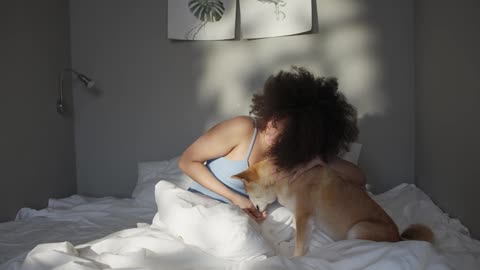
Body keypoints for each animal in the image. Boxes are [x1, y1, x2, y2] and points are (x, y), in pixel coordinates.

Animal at [232, 159, 436, 256]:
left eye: (247, 192)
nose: (253, 209)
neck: (282, 180)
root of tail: (398, 238)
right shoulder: (306, 221)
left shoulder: (303, 216)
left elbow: (299, 245)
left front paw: (295, 258)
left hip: (357, 229)